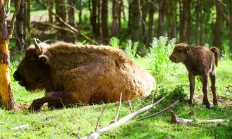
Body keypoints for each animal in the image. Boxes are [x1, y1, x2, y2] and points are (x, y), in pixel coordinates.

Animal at [14, 38, 156, 110]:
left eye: (30, 60)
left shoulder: (78, 96)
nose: (16, 75)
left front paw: (33, 106)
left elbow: (50, 95)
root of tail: (152, 80)